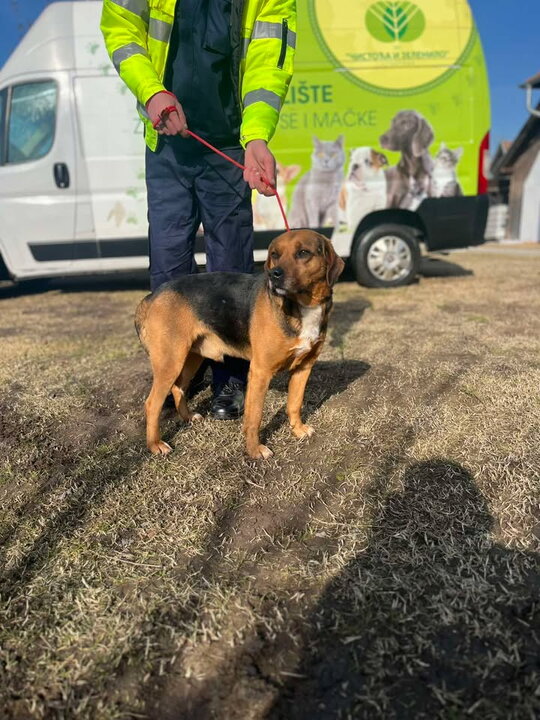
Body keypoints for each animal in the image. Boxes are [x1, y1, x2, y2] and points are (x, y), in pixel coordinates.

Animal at [135, 230, 345, 460]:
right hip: (170, 361)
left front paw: (297, 430)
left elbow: (294, 404)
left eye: (303, 252)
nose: (274, 275)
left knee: (178, 388)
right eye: (275, 254)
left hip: (190, 358)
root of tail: (153, 295)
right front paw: (254, 450)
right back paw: (155, 444)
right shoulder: (260, 372)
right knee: (152, 404)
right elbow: (254, 417)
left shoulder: (303, 368)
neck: (303, 306)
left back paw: (188, 417)